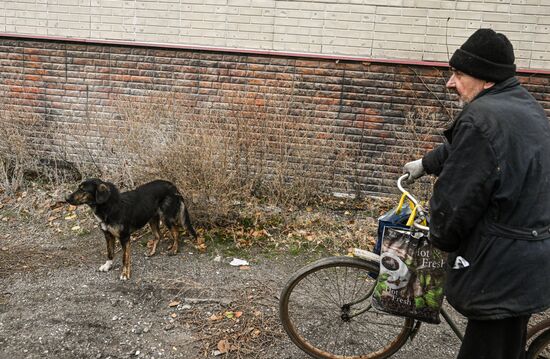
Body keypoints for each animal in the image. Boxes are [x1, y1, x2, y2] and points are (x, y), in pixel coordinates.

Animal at [66, 180, 198, 282]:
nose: (66, 198)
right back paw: (151, 252)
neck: (109, 207)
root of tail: (173, 186)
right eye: (78, 187)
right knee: (158, 236)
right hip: (152, 218)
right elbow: (110, 252)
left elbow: (125, 258)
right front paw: (108, 265)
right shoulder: (108, 235)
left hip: (167, 217)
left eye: (83, 190)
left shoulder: (124, 238)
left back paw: (174, 249)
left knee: (176, 232)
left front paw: (125, 274)